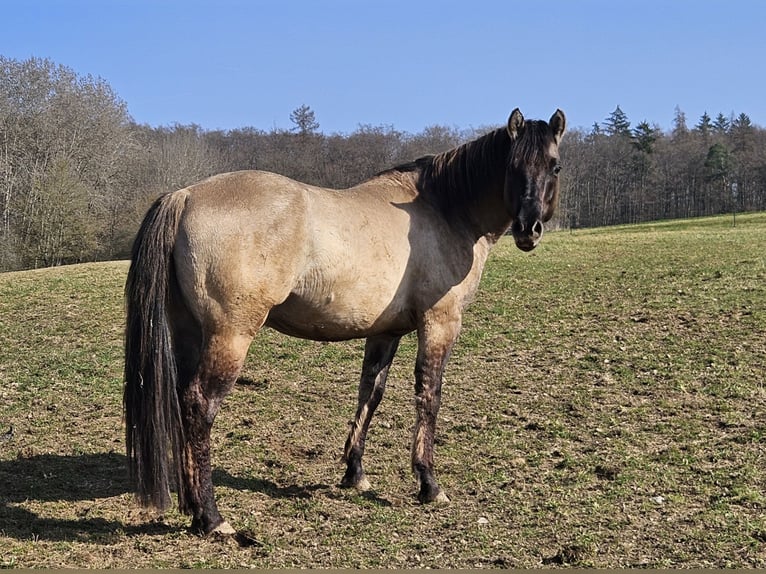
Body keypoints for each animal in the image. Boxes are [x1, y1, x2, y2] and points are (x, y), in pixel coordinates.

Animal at [124, 108, 566, 536]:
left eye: (554, 165)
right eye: (512, 165)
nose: (529, 229)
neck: (445, 208)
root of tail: (185, 196)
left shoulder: (385, 332)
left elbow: (370, 393)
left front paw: (355, 473)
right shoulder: (440, 323)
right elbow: (429, 395)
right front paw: (428, 483)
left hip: (190, 334)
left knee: (183, 403)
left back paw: (193, 506)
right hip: (230, 335)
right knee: (199, 406)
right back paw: (212, 517)